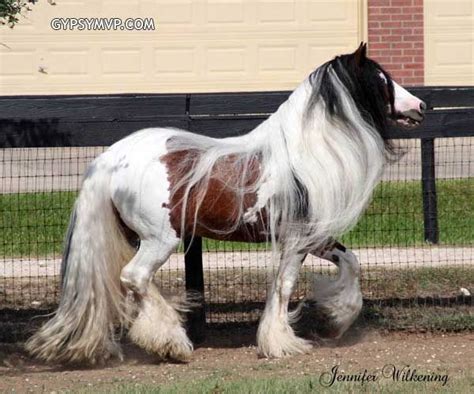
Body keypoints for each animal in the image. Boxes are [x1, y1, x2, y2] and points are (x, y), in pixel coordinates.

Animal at [25, 43, 426, 364]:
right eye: (380, 79)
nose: (420, 106)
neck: (305, 157)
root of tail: (110, 159)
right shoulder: (297, 241)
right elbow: (284, 286)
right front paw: (281, 344)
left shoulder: (315, 239)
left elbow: (351, 263)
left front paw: (337, 320)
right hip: (160, 240)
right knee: (134, 277)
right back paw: (172, 343)